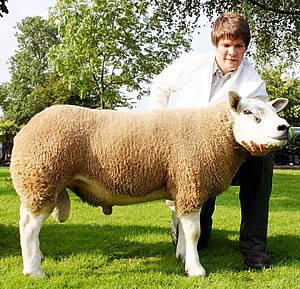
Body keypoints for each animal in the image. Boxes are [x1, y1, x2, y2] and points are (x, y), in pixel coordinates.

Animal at [9, 90, 288, 276]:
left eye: (275, 112)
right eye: (249, 113)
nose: (284, 127)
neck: (215, 133)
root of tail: (26, 128)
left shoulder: (181, 187)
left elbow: (183, 229)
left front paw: (182, 258)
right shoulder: (191, 183)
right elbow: (194, 232)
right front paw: (196, 270)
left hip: (39, 182)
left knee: (27, 222)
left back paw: (36, 258)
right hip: (41, 179)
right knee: (29, 226)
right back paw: (34, 270)